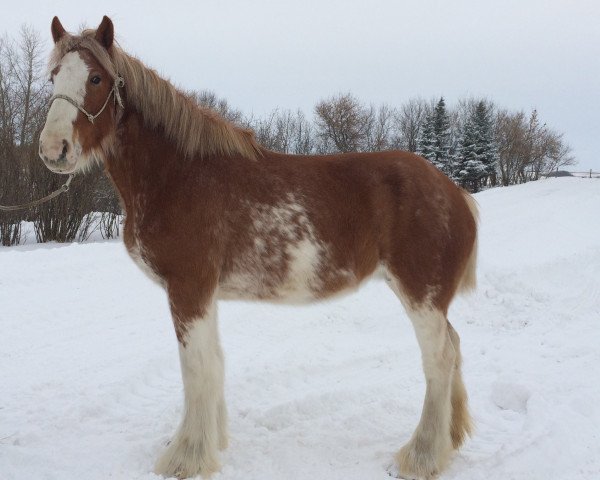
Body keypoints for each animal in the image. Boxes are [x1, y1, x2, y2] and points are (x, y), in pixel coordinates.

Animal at [38, 15, 478, 480]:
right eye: (53, 76)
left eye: (96, 78)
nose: (54, 149)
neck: (177, 175)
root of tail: (455, 192)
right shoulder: (204, 293)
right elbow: (213, 363)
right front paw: (212, 443)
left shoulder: (188, 288)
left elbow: (196, 369)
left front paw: (186, 457)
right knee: (454, 346)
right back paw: (451, 438)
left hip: (421, 295)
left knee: (439, 358)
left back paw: (422, 455)